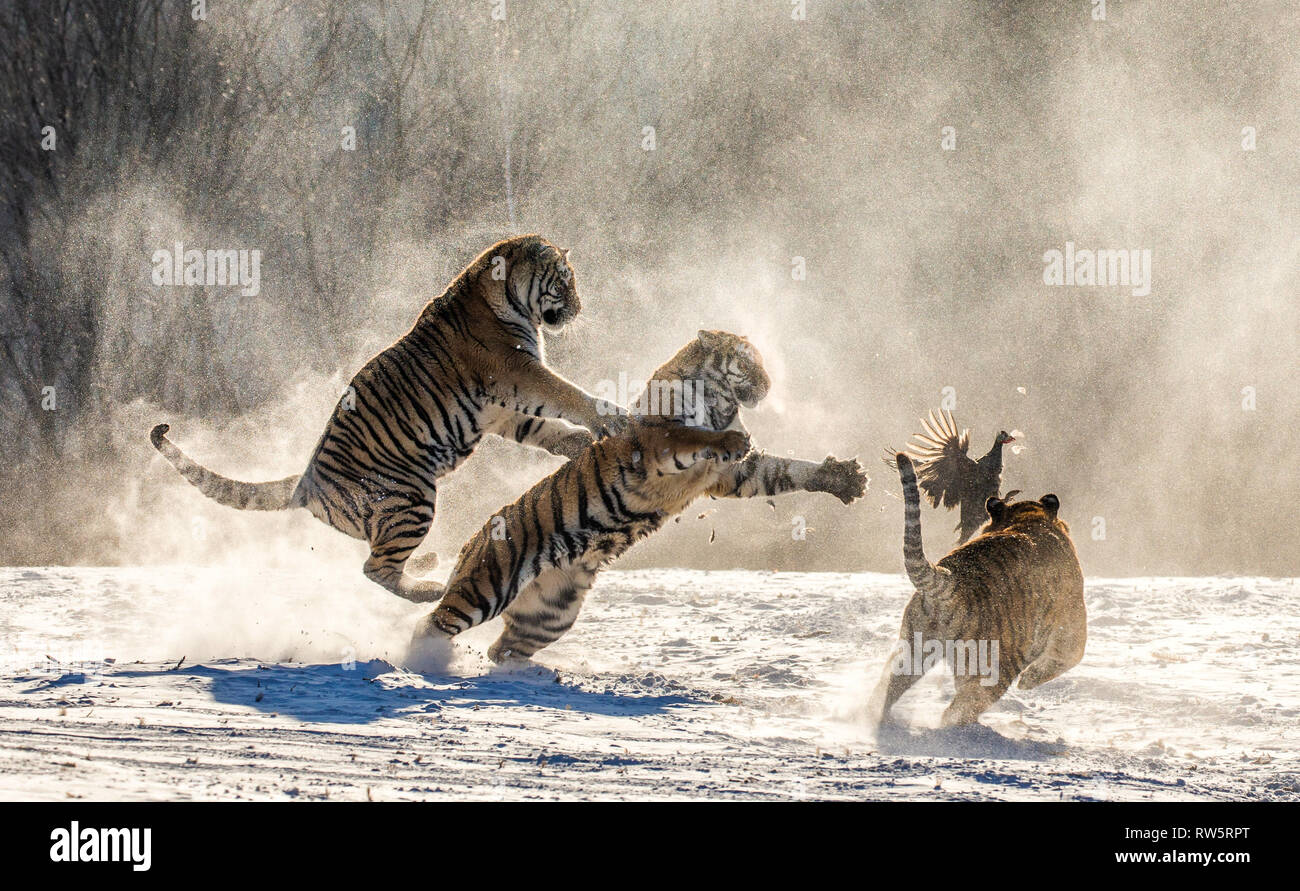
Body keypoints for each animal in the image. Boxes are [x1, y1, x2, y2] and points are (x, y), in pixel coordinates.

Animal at [150, 234, 627, 603]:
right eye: (564, 281)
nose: (580, 308)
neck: (506, 297)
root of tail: (305, 482)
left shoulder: (497, 409)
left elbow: (544, 428)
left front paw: (579, 443)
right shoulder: (518, 372)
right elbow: (565, 394)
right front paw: (611, 417)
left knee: (382, 560)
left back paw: (431, 563)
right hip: (412, 496)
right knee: (374, 568)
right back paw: (434, 587)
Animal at [407, 329, 869, 667]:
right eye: (747, 360)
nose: (769, 384)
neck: (720, 400)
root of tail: (470, 541)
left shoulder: (731, 476)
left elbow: (785, 470)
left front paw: (844, 479)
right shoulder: (657, 443)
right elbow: (692, 435)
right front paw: (732, 438)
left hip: (553, 613)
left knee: (501, 649)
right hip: (487, 585)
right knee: (432, 625)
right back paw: (424, 662)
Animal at [874, 453, 1086, 726]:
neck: (1029, 518)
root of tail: (950, 581)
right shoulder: (1072, 626)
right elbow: (1068, 657)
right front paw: (1028, 682)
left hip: (911, 651)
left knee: (885, 690)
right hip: (994, 668)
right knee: (958, 710)